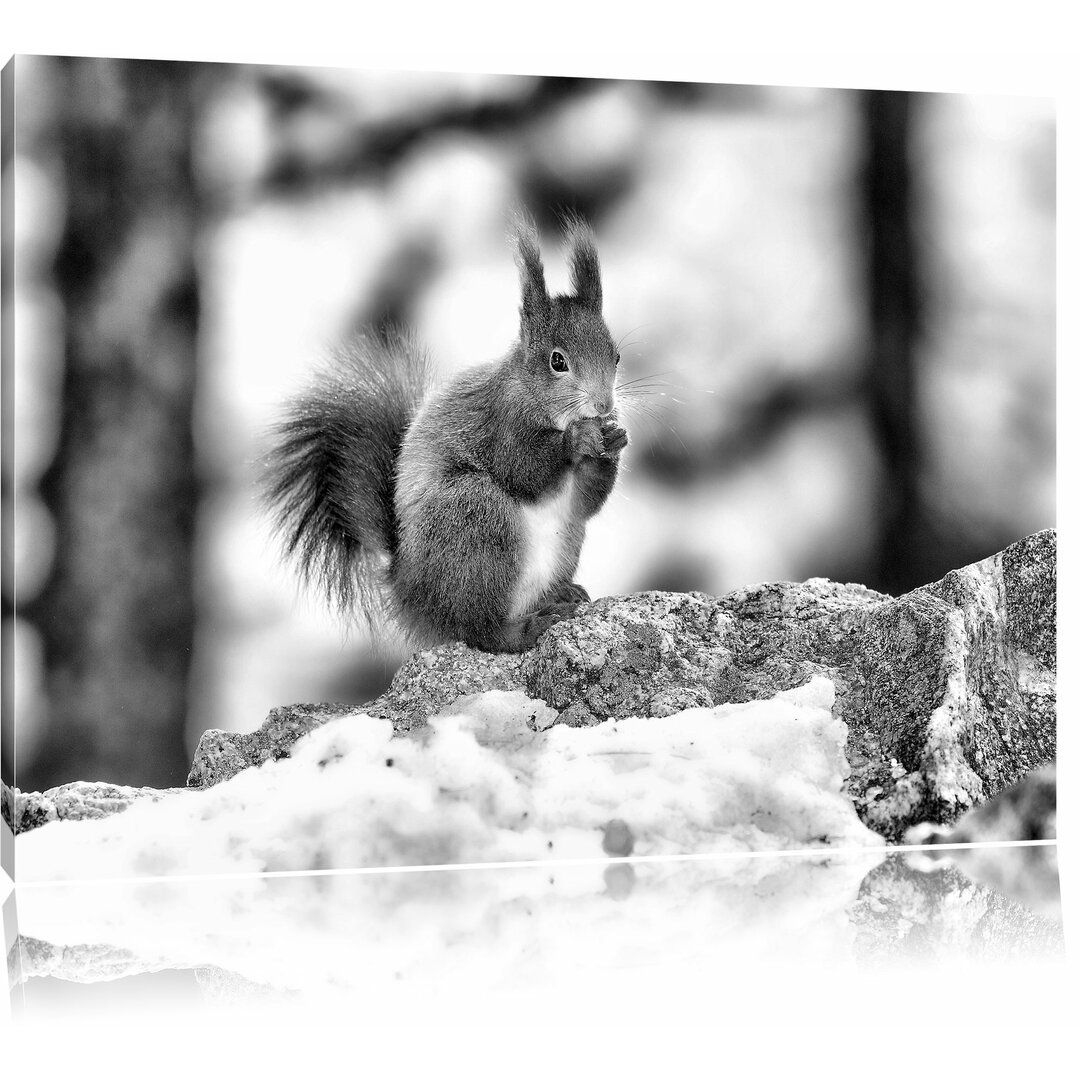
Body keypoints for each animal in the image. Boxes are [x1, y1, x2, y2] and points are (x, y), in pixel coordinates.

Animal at [262, 210, 630, 648]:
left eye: (616, 356)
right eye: (558, 361)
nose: (604, 405)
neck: (534, 397)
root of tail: (412, 596)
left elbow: (585, 502)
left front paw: (614, 441)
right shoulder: (500, 423)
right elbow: (523, 471)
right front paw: (578, 440)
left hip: (564, 541)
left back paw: (561, 594)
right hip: (475, 519)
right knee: (478, 629)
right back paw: (524, 628)